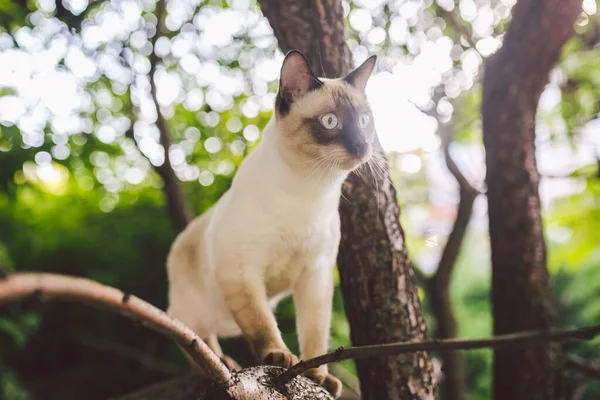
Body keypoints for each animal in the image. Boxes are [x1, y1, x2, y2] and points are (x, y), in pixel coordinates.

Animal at [166, 47, 378, 396]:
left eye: (364, 121)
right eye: (330, 121)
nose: (362, 146)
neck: (309, 191)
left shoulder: (316, 275)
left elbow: (315, 336)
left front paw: (318, 376)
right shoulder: (242, 271)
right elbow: (262, 325)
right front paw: (279, 357)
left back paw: (225, 362)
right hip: (193, 309)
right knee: (191, 337)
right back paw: (218, 367)